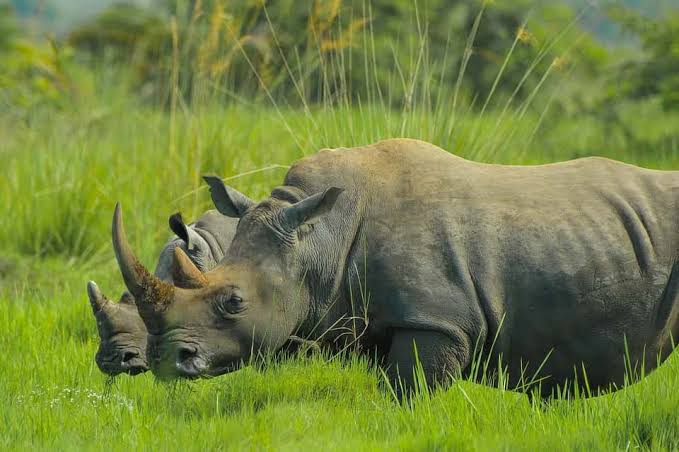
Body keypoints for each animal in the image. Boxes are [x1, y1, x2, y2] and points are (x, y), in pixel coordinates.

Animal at [111, 138, 679, 396]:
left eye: (234, 303)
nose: (166, 361)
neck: (319, 237)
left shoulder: (436, 321)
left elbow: (410, 394)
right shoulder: (365, 317)